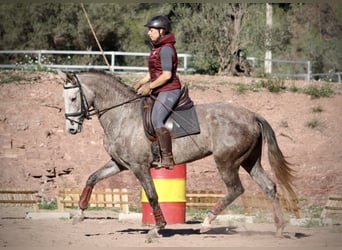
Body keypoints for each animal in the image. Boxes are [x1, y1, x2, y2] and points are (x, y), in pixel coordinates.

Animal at [58, 70, 296, 236]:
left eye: (73, 98)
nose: (71, 129)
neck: (122, 114)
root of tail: (252, 114)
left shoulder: (139, 166)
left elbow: (153, 195)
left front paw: (158, 227)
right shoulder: (119, 163)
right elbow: (92, 177)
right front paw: (79, 213)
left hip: (226, 161)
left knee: (236, 189)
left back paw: (207, 222)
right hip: (249, 161)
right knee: (269, 187)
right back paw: (280, 228)